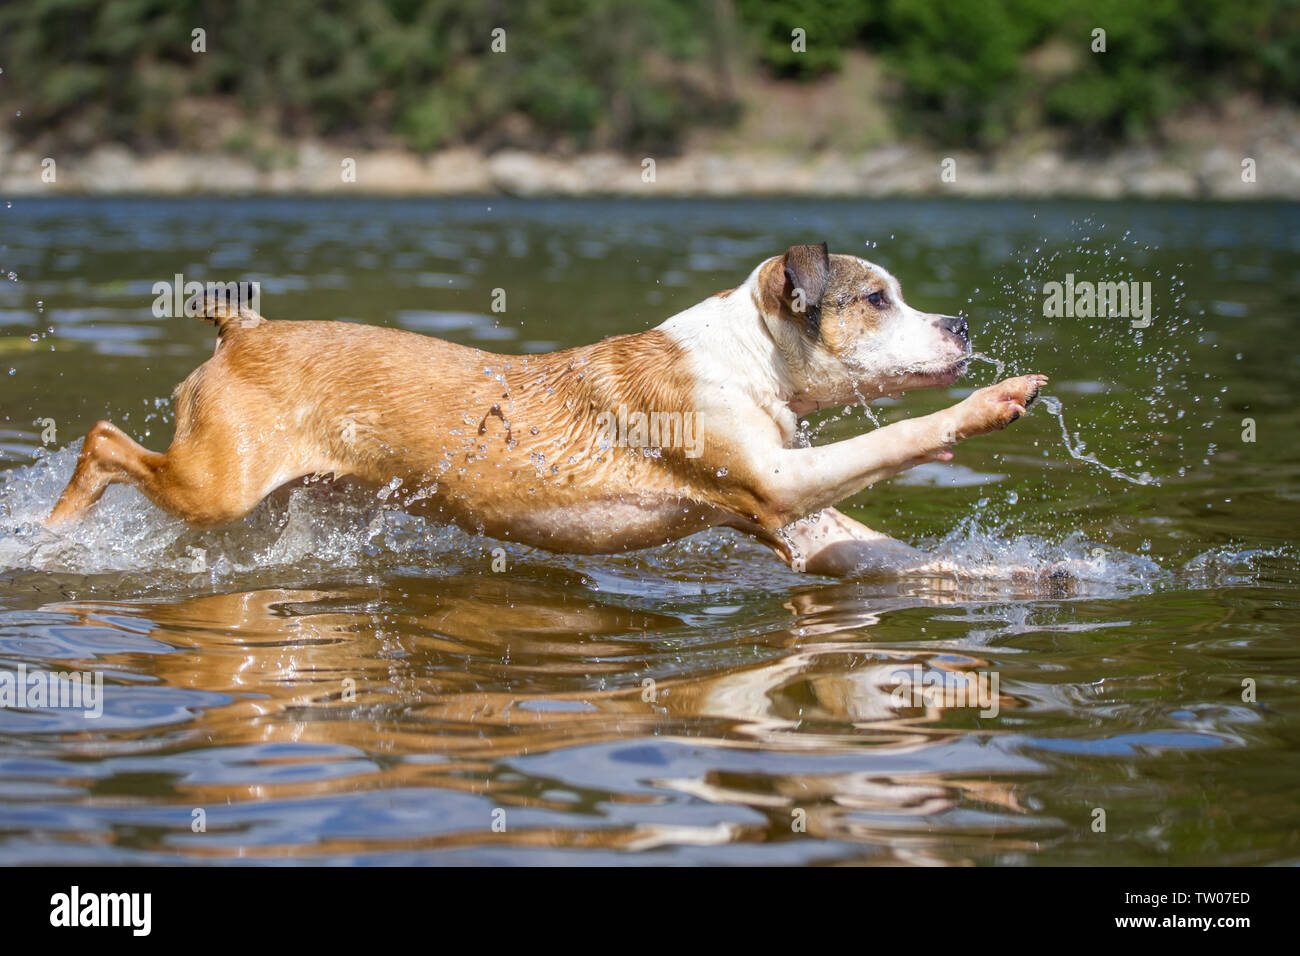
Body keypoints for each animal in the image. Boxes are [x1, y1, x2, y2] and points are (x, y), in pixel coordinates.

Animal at [48, 244, 1045, 574]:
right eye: (876, 299)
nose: (959, 324)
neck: (750, 358)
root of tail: (244, 332)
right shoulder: (778, 482)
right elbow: (905, 433)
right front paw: (992, 404)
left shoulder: (800, 521)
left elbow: (896, 559)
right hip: (215, 483)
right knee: (102, 441)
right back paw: (55, 528)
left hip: (276, 510)